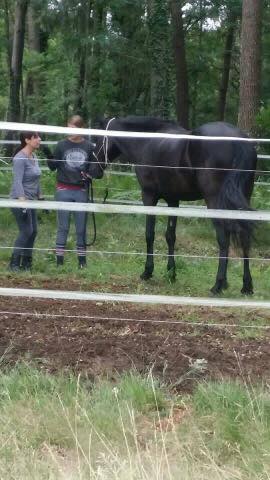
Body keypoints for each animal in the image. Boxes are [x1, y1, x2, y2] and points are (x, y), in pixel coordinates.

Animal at [89, 117, 258, 296]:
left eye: (97, 139)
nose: (92, 170)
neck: (147, 142)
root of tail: (238, 140)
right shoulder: (173, 201)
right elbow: (170, 236)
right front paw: (171, 273)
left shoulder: (149, 197)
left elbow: (149, 234)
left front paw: (147, 271)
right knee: (244, 237)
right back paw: (246, 286)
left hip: (215, 202)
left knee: (224, 240)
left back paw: (218, 285)